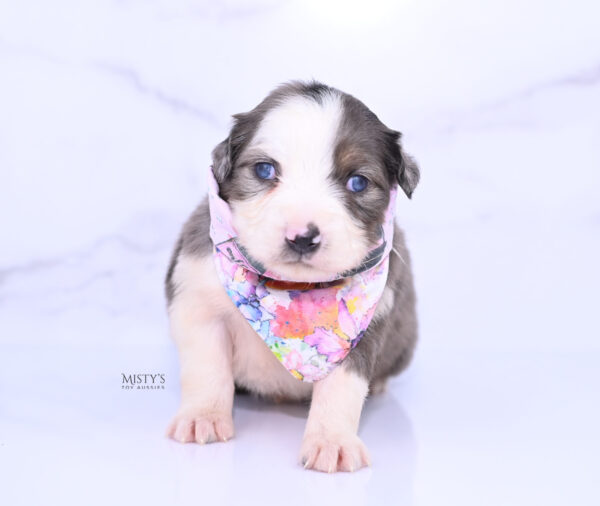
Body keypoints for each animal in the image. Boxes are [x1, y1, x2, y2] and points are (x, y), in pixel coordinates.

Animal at [163, 81, 418, 472]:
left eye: (358, 182)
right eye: (265, 170)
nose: (302, 236)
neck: (288, 287)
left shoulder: (365, 328)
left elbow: (341, 388)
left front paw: (332, 441)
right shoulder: (197, 300)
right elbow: (206, 367)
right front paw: (202, 417)